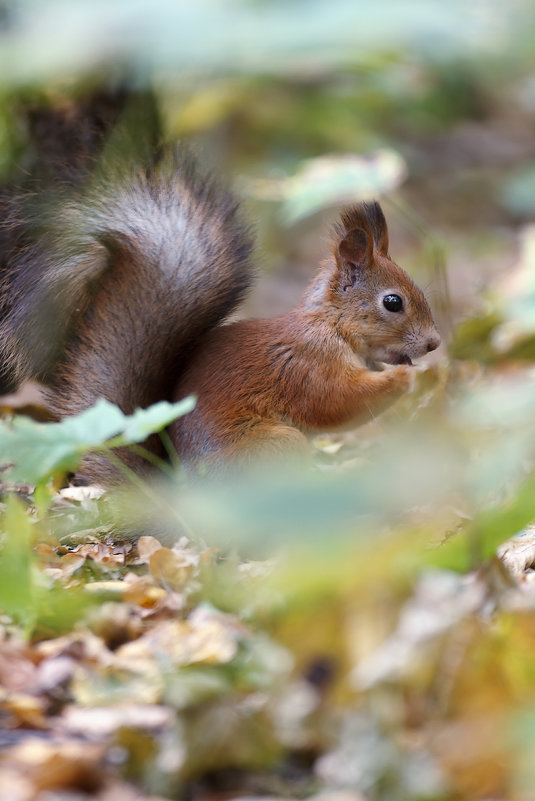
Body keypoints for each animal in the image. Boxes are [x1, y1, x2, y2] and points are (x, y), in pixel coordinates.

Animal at [1, 99, 440, 478]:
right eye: (393, 302)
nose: (434, 343)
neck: (333, 328)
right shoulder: (305, 366)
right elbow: (336, 403)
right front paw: (404, 379)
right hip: (275, 444)